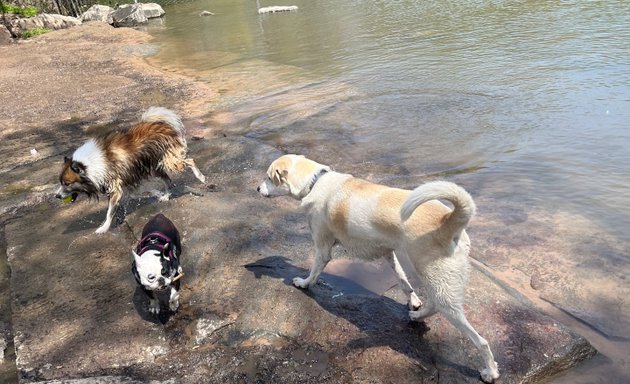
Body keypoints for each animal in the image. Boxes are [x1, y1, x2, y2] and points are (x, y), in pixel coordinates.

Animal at [55, 108, 206, 234]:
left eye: (67, 183)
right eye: (61, 183)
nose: (56, 196)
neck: (88, 165)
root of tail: (162, 123)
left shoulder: (116, 188)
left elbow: (110, 212)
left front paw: (104, 228)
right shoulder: (128, 181)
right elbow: (140, 192)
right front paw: (156, 193)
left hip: (170, 161)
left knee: (190, 161)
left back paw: (201, 177)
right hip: (156, 166)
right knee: (168, 181)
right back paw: (166, 196)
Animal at [260, 154, 502, 382]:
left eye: (268, 177)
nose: (256, 188)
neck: (315, 181)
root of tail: (449, 220)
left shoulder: (323, 247)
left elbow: (314, 272)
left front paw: (303, 283)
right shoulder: (387, 252)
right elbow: (403, 281)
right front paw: (413, 301)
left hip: (437, 282)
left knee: (480, 340)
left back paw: (490, 372)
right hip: (434, 279)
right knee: (433, 304)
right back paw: (417, 315)